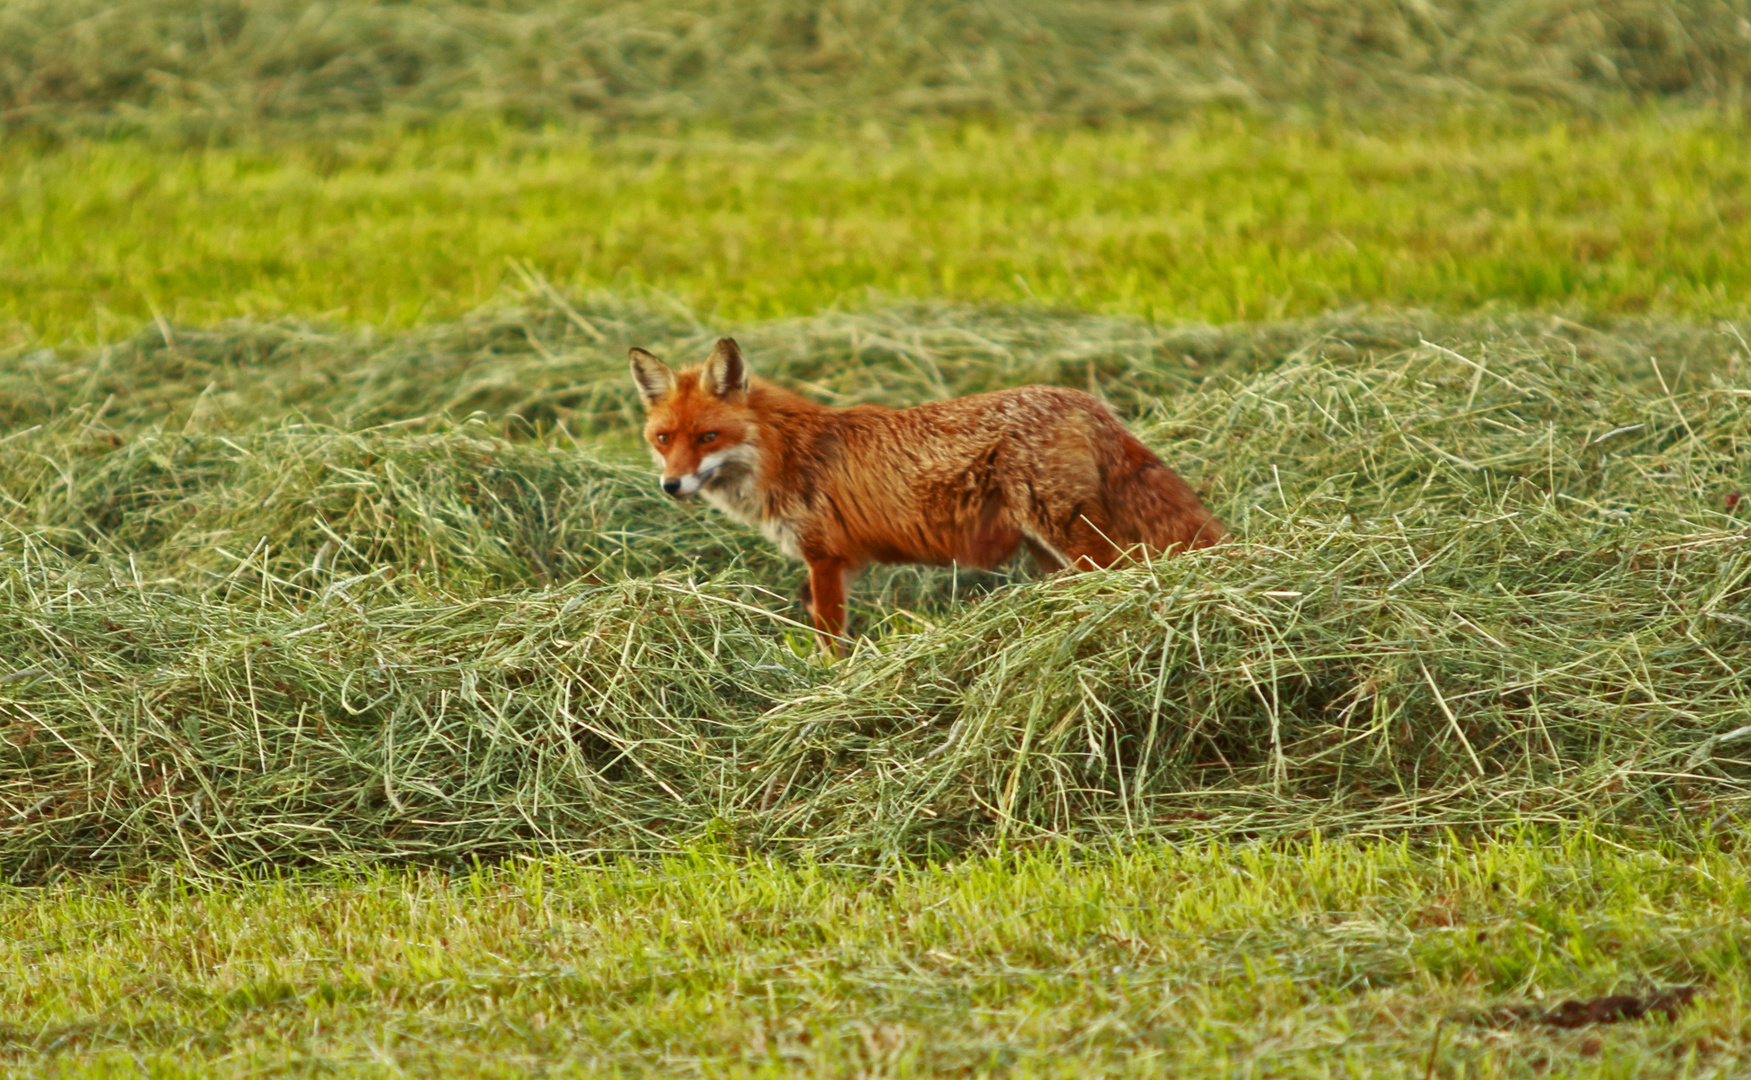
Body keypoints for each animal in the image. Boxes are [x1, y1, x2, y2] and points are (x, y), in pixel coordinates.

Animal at [637, 341, 1225, 644]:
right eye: (664, 439)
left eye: (707, 438)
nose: (671, 485)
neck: (786, 453)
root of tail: (1087, 400)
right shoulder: (833, 562)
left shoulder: (825, 557)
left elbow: (830, 638)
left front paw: (827, 688)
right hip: (1047, 551)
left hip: (1073, 538)